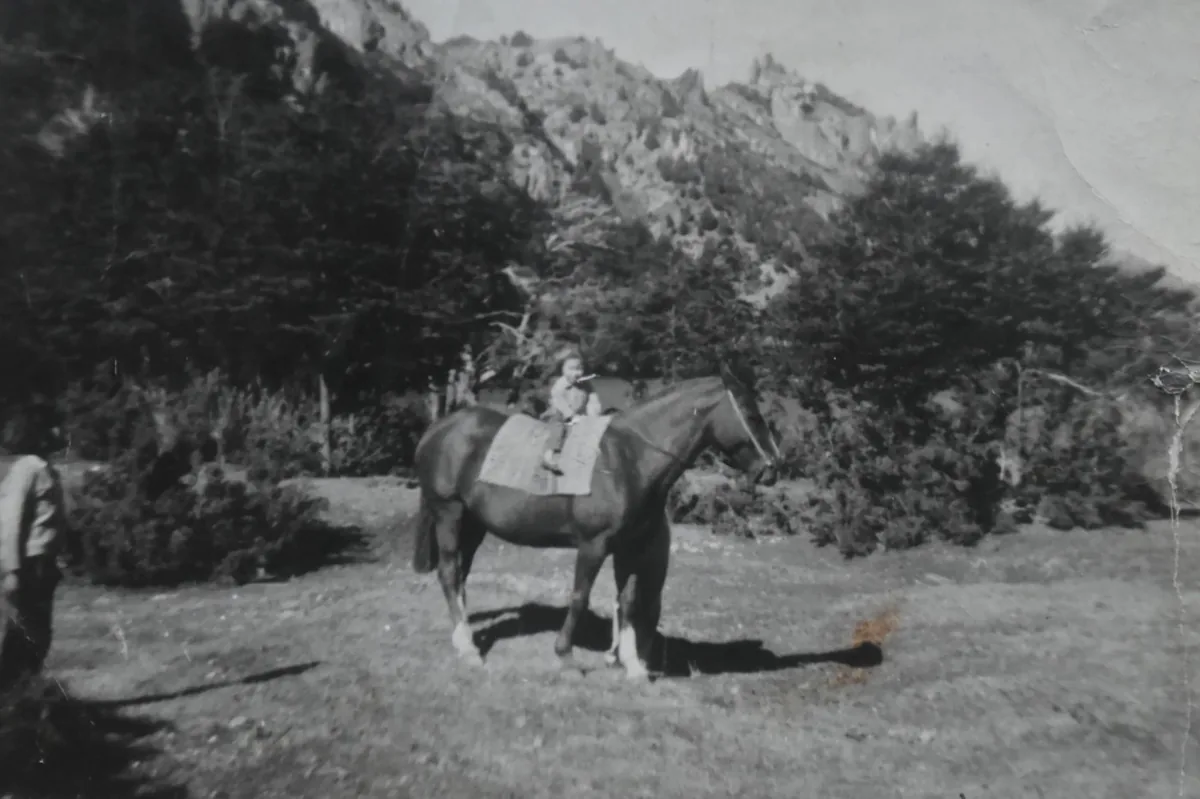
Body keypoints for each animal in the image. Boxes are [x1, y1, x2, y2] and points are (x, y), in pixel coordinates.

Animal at [409, 362, 782, 680]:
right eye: (751, 414)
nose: (773, 468)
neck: (629, 457)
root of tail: (440, 428)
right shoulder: (593, 545)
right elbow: (580, 596)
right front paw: (566, 656)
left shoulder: (630, 548)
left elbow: (627, 602)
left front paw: (633, 665)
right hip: (449, 514)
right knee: (449, 572)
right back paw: (468, 647)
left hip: (473, 525)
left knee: (460, 575)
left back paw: (463, 637)